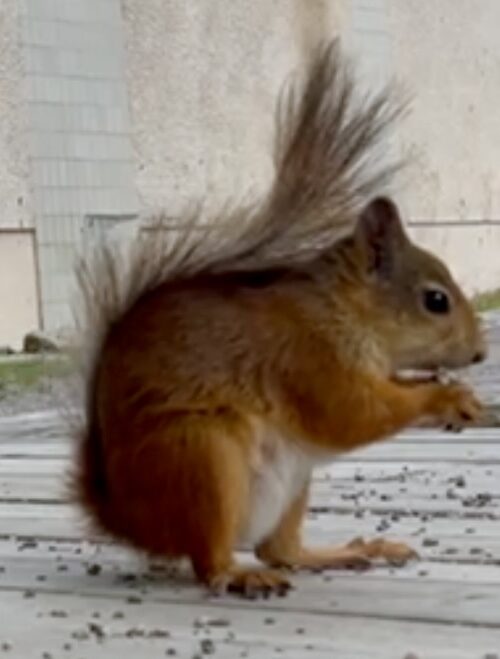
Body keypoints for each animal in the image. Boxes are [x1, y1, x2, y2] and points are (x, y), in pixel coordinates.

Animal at [73, 40, 486, 598]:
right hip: (203, 456)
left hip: (291, 481)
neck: (344, 312)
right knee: (211, 559)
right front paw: (441, 397)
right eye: (436, 301)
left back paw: (352, 551)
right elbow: (354, 413)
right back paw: (239, 574)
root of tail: (127, 517)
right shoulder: (305, 358)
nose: (480, 353)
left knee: (282, 551)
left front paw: (454, 395)